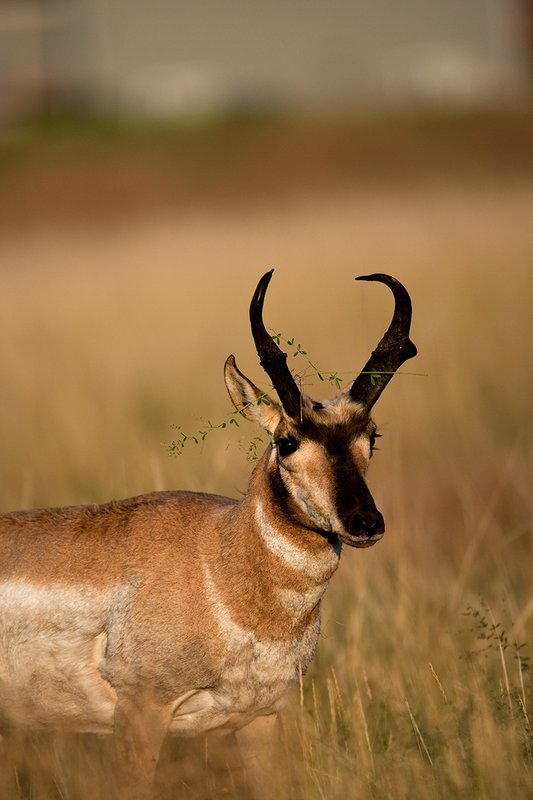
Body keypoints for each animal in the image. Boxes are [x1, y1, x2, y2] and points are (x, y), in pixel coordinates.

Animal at [0, 270, 416, 798]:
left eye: (371, 436)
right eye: (287, 440)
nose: (366, 522)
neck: (221, 556)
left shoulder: (261, 719)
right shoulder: (142, 714)